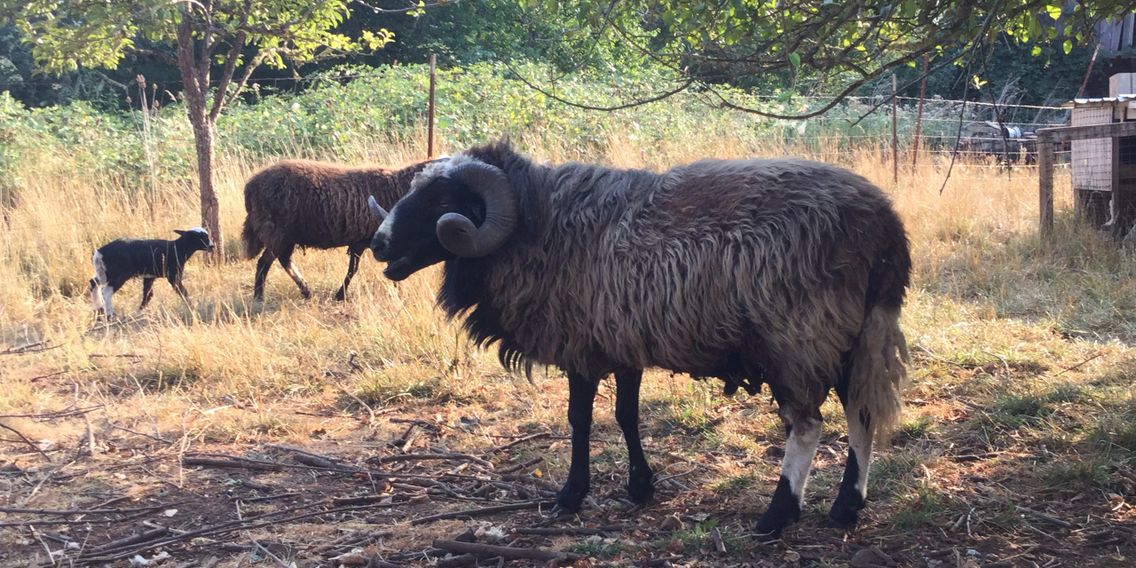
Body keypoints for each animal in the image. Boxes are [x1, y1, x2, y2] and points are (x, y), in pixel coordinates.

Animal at [240, 158, 436, 301]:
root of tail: (250, 187)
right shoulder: (368, 241)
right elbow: (355, 270)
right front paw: (341, 295)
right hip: (277, 232)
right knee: (264, 262)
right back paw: (259, 298)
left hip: (287, 236)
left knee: (284, 260)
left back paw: (306, 291)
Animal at [367, 140, 911, 537]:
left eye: (442, 202)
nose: (378, 243)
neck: (538, 223)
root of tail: (884, 225)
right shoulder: (620, 338)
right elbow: (627, 415)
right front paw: (640, 487)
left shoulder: (582, 345)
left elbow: (581, 419)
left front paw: (570, 496)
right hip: (853, 333)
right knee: (861, 413)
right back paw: (846, 507)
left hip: (796, 336)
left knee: (808, 425)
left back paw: (776, 517)